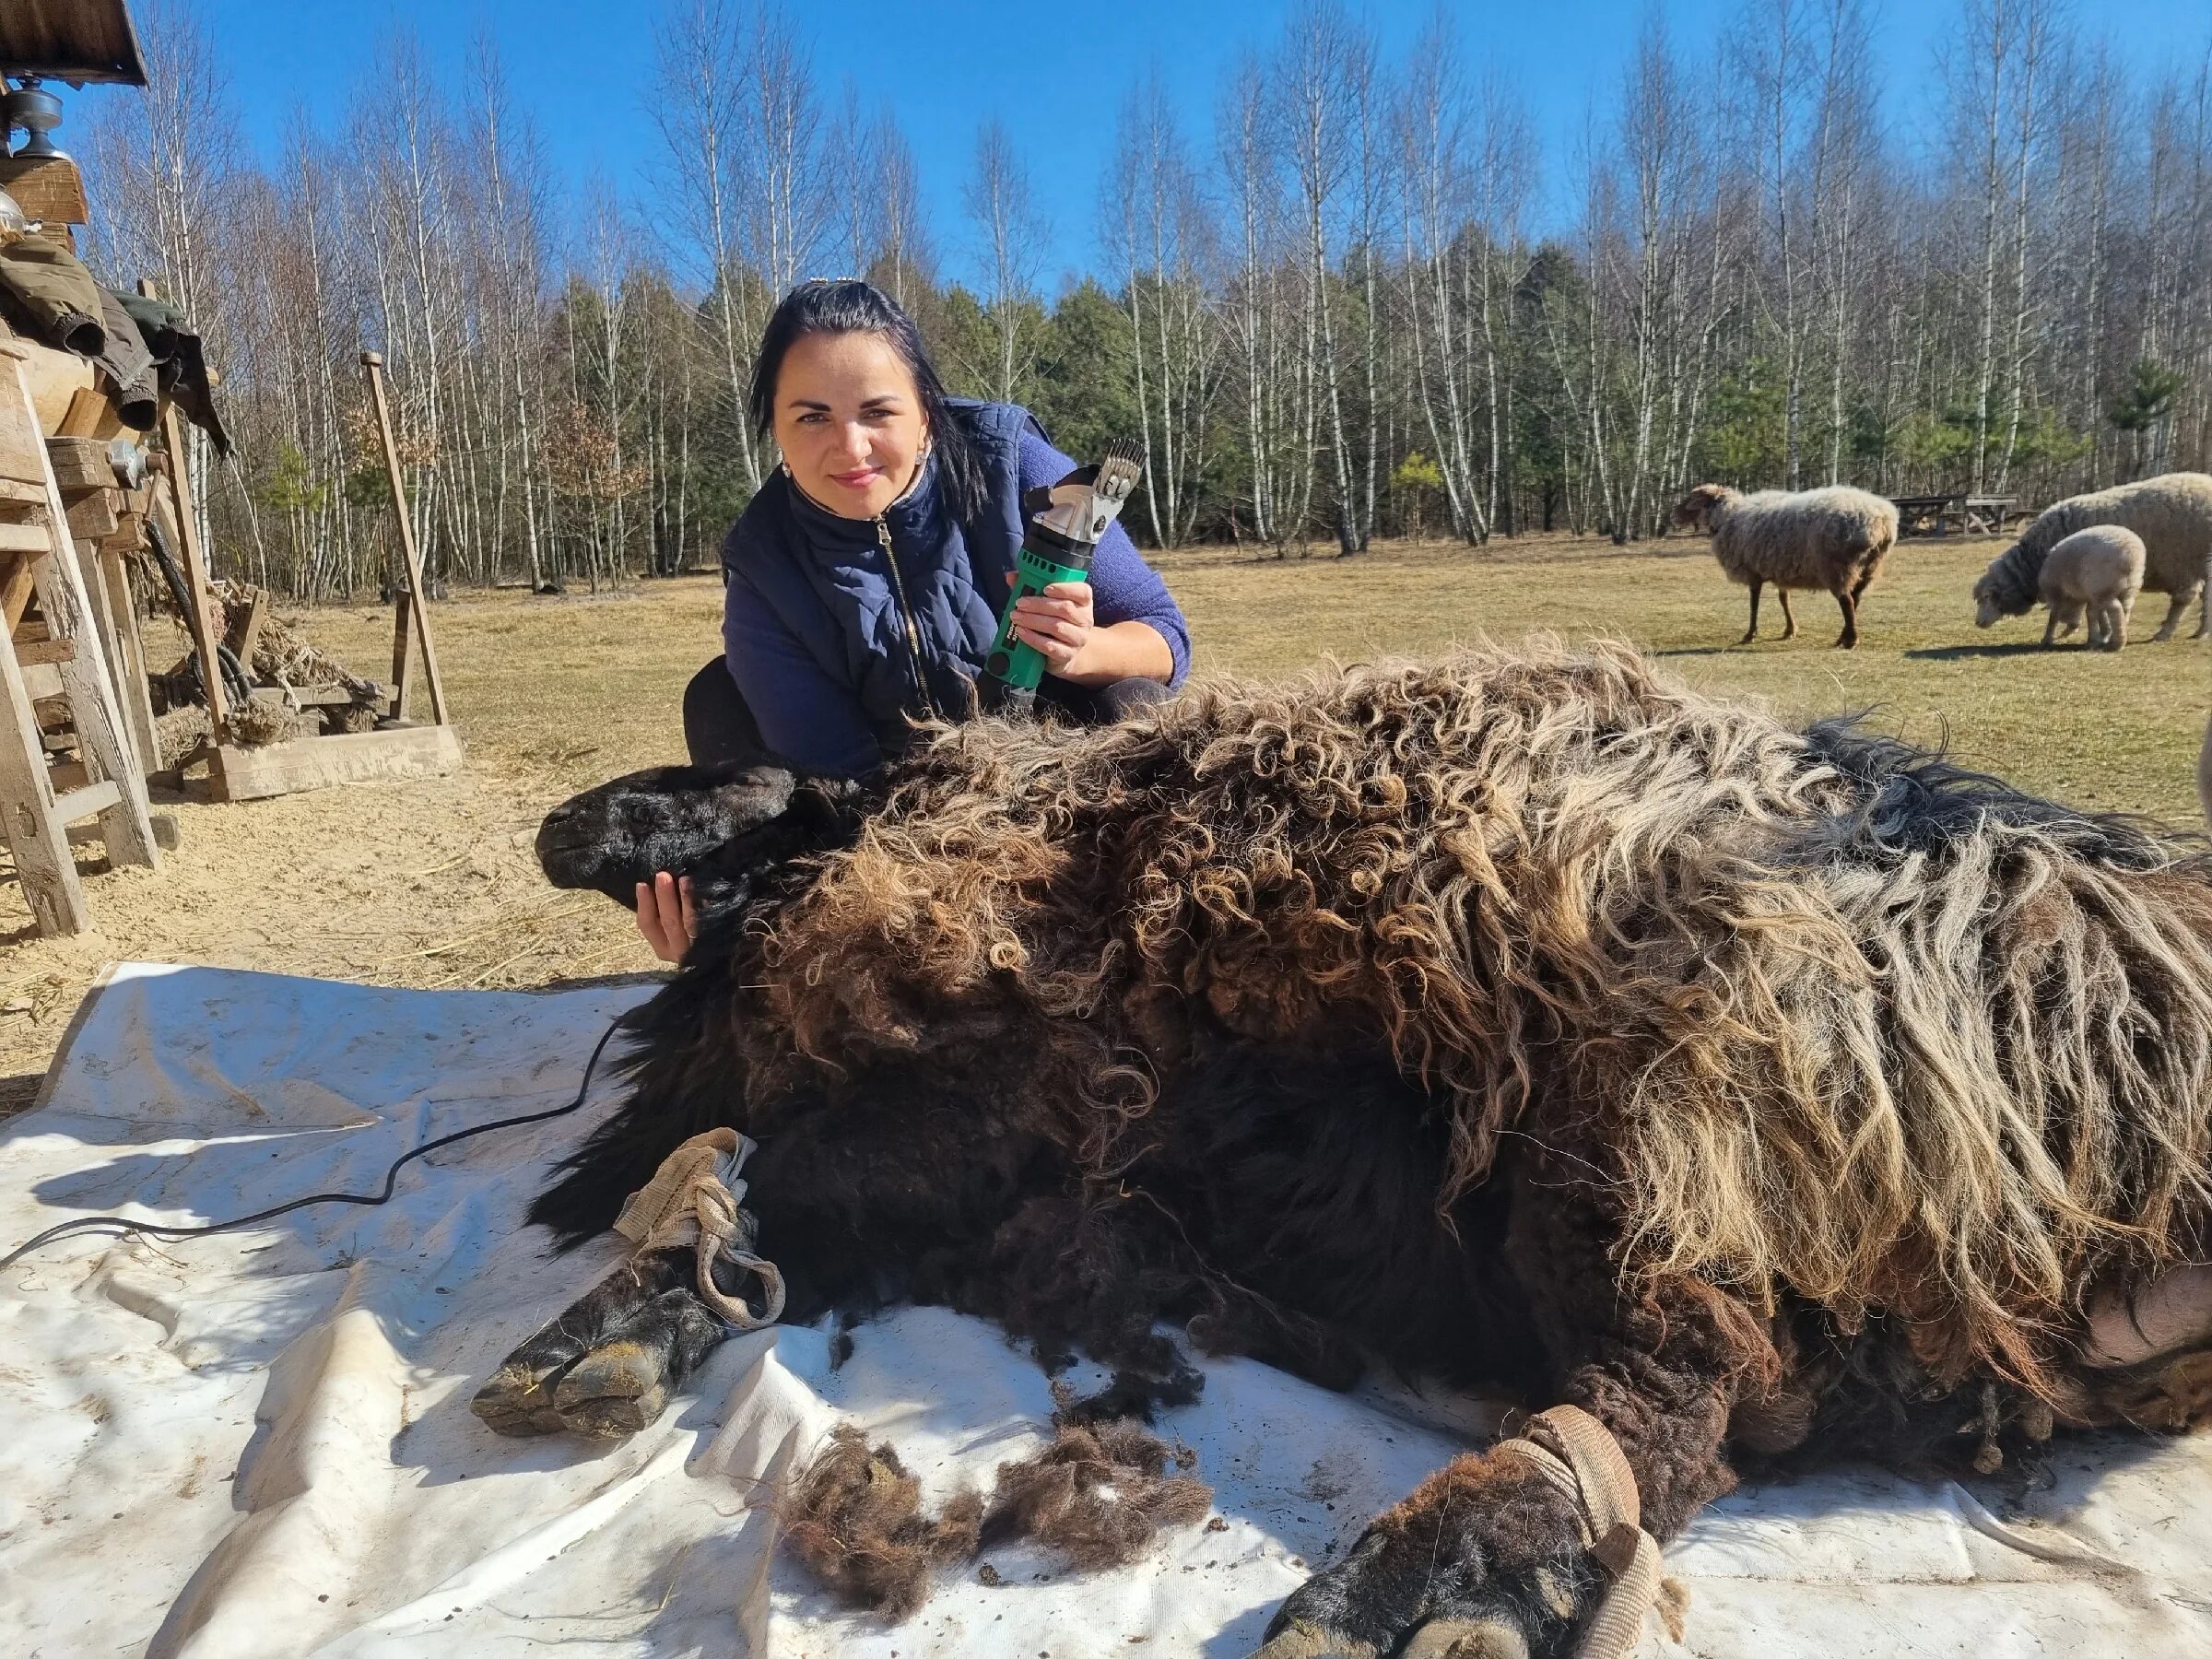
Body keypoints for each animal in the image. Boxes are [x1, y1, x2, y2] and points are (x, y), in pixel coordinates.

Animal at [484, 645, 2212, 1659]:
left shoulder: (1011, 1059)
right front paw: (598, 1352)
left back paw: (1395, 1603)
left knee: (1688, 1393)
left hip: (1678, 1093)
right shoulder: (1014, 1134)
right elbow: (768, 1189)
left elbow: (772, 1144)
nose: (569, 832)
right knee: (1723, 1398)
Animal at [1672, 479, 1902, 650]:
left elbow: (1753, 602)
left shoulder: (1753, 570)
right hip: (1869, 567)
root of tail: (1881, 520)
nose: (1673, 516)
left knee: (1847, 601)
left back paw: (1850, 640)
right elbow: (1784, 599)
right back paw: (1842, 637)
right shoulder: (1781, 566)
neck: (1728, 519)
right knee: (1855, 600)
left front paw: (1750, 634)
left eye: (1692, 499)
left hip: (1837, 566)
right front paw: (1790, 630)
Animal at [2026, 526, 2141, 650]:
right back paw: (2117, 638)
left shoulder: (2056, 592)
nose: (2069, 629)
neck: (2073, 598)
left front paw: (2047, 640)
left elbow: (2053, 618)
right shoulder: (2090, 595)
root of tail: (2129, 554)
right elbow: (2094, 613)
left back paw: (2117, 644)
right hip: (2130, 587)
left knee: (2115, 608)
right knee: (2126, 608)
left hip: (2103, 585)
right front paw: (2096, 638)